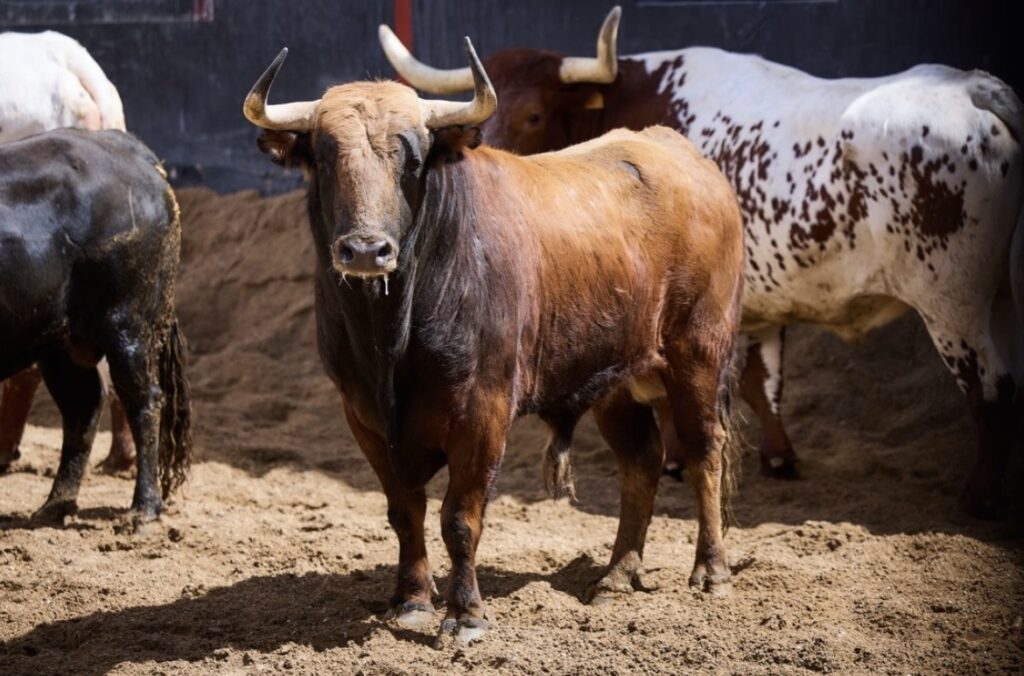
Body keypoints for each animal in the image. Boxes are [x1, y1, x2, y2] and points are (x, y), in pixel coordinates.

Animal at [0, 129, 192, 526]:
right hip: (60, 341)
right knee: (82, 405)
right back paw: (55, 505)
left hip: (127, 327)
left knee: (144, 401)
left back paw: (143, 510)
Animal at [243, 39, 744, 644]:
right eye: (323, 156)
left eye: (412, 160)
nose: (366, 250)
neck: (392, 338)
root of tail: (683, 156)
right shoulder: (363, 417)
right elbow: (404, 513)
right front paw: (410, 601)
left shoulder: (482, 414)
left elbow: (460, 518)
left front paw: (465, 616)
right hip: (616, 377)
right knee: (641, 460)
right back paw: (618, 574)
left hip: (700, 352)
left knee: (702, 448)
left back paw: (711, 570)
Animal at [379, 7, 1024, 517]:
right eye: (486, 112)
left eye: (534, 114)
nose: (483, 160)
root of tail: (971, 89)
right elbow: (762, 382)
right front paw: (778, 458)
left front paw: (674, 460)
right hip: (998, 298)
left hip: (953, 301)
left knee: (991, 390)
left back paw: (981, 497)